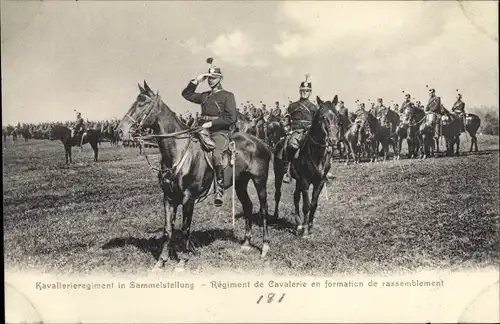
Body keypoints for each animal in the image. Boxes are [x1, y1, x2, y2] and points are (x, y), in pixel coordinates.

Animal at [116, 81, 272, 270]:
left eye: (142, 104)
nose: (120, 131)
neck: (179, 151)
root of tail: (260, 142)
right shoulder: (168, 197)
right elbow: (168, 229)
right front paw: (162, 260)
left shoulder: (188, 198)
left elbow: (185, 229)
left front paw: (183, 260)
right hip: (241, 183)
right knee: (248, 206)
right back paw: (247, 243)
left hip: (259, 180)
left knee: (263, 209)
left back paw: (265, 247)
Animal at [272, 95, 342, 237]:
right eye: (323, 117)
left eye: (337, 117)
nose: (333, 140)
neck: (316, 153)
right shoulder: (305, 181)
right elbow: (306, 205)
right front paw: (305, 231)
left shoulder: (319, 182)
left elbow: (313, 205)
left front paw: (309, 227)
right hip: (278, 174)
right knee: (278, 194)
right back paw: (277, 216)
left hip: (298, 180)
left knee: (295, 197)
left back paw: (298, 223)